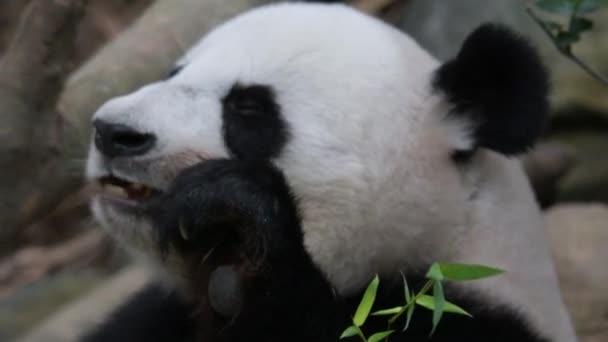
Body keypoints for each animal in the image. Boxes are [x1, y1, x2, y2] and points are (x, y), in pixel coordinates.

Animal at [83, 2, 576, 342]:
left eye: (249, 109)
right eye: (175, 72)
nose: (113, 132)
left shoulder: (459, 317)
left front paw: (232, 212)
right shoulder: (158, 315)